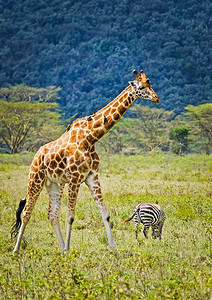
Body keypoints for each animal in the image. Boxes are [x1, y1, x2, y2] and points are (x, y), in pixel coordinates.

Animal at [10, 69, 158, 253]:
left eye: (150, 84)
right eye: (142, 87)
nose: (156, 98)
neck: (91, 138)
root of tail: (36, 155)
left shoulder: (92, 176)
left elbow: (105, 214)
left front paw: (113, 248)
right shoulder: (75, 178)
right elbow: (70, 217)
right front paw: (68, 249)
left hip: (55, 184)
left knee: (52, 215)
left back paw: (60, 248)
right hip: (35, 179)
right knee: (26, 213)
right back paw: (16, 250)